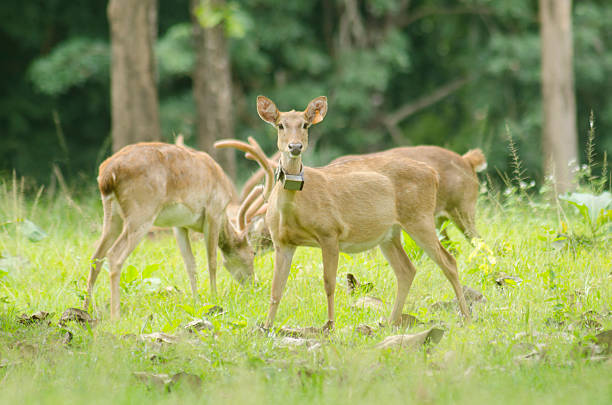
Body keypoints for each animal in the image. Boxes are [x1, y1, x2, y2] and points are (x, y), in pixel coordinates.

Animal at [82, 142, 255, 318]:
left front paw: (196, 301)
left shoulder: (179, 225)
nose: (253, 284)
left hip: (112, 215)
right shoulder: (214, 211)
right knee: (114, 255)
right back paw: (115, 315)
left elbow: (190, 264)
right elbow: (211, 260)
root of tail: (107, 175)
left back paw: (86, 310)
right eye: (253, 252)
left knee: (96, 257)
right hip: (142, 212)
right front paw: (214, 299)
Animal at [215, 96, 468, 330]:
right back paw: (390, 322)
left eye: (305, 124)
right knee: (407, 270)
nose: (295, 147)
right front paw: (266, 327)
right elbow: (277, 288)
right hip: (389, 234)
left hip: (420, 217)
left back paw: (465, 315)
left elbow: (329, 283)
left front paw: (329, 324)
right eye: (280, 125)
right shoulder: (282, 242)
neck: (293, 207)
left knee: (449, 261)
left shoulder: (329, 232)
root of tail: (432, 174)